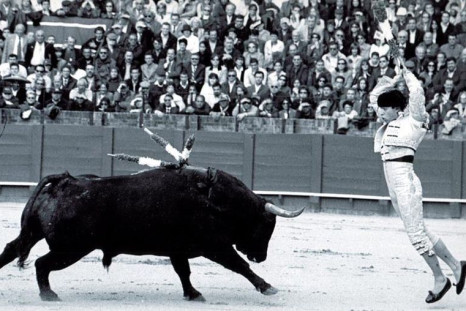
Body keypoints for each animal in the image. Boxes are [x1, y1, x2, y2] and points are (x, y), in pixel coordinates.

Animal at [0, 167, 306, 302]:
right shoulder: (216, 247)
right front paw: (267, 287)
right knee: (42, 263)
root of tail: (64, 181)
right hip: (71, 249)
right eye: (266, 225)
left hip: (36, 234)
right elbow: (239, 266)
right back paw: (49, 295)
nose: (260, 257)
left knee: (11, 250)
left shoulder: (178, 250)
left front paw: (193, 294)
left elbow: (183, 272)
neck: (215, 198)